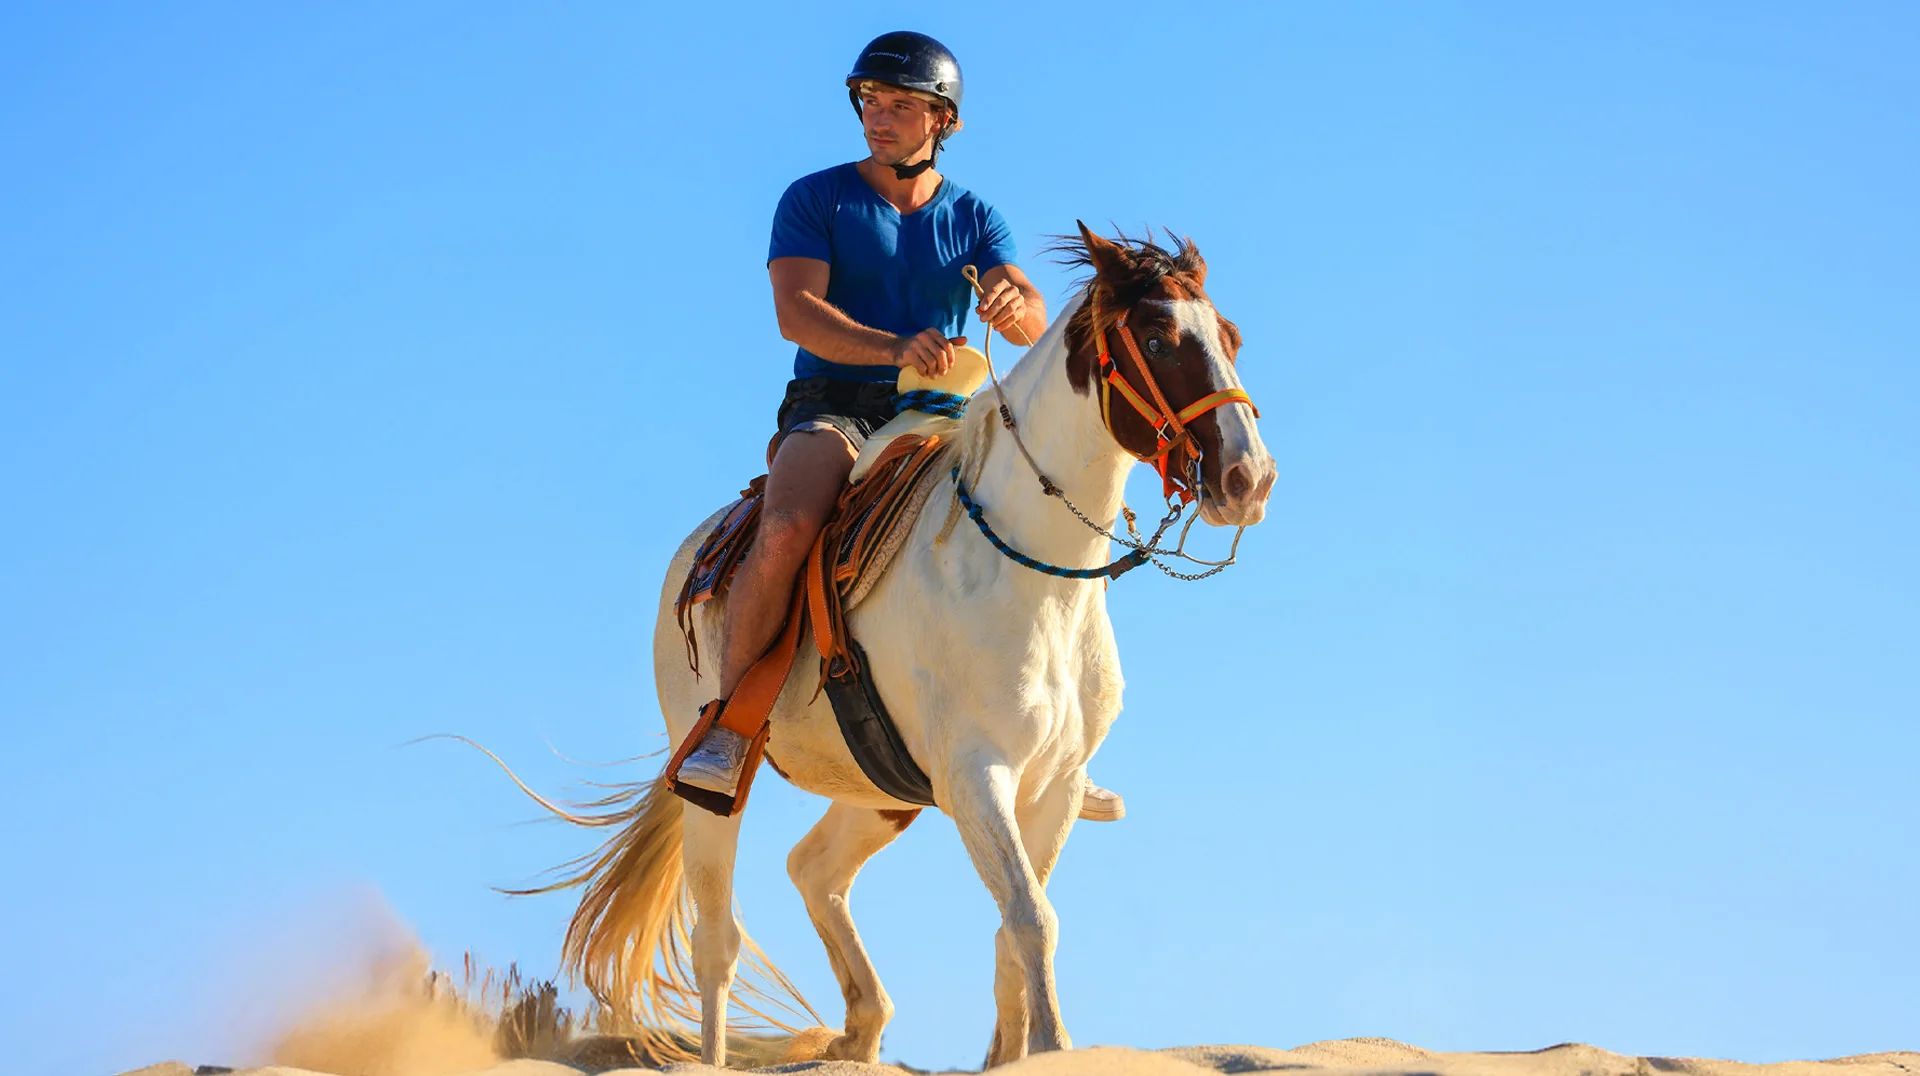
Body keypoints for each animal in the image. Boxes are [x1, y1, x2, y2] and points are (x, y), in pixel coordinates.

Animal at [547, 222, 1276, 1068]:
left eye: (1230, 337)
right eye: (1158, 338)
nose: (1248, 478)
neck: (1029, 571)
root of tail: (699, 547)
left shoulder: (1054, 785)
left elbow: (1016, 926)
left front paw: (1012, 1052)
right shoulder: (976, 777)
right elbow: (1032, 917)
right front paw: (1053, 1044)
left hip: (884, 794)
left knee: (813, 869)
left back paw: (862, 1027)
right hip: (715, 783)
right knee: (716, 942)